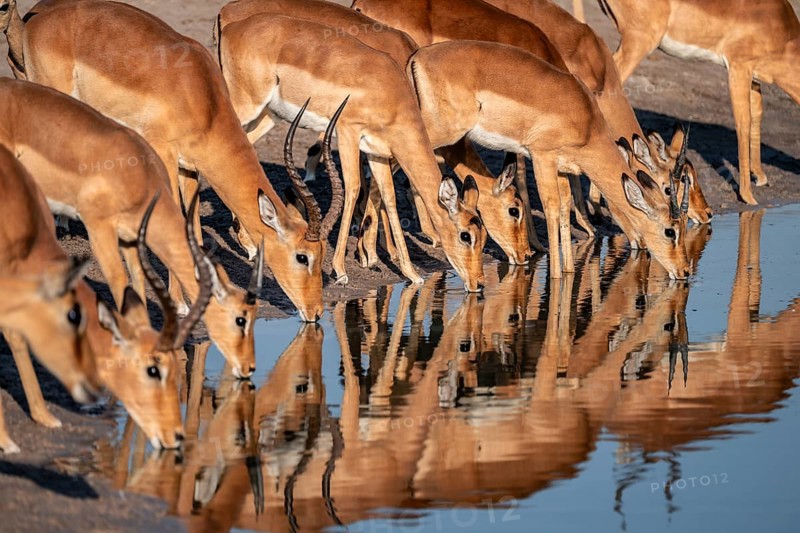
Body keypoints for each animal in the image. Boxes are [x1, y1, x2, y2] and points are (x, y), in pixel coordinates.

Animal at [0, 78, 261, 379]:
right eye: (240, 319)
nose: (249, 367)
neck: (139, 176)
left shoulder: (130, 239)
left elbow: (136, 283)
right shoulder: (99, 229)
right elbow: (118, 281)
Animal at [2, 0, 337, 322]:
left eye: (322, 254)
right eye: (303, 256)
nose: (316, 312)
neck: (200, 96)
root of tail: (38, 14)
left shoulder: (189, 167)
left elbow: (194, 225)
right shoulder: (162, 152)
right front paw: (180, 304)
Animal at [218, 14, 488, 291]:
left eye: (484, 235)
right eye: (465, 235)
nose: (478, 283)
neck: (388, 90)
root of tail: (232, 28)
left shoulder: (377, 151)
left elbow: (389, 196)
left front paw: (411, 273)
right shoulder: (348, 133)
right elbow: (354, 187)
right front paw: (340, 270)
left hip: (268, 115)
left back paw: (248, 244)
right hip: (246, 106)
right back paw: (248, 246)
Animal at [406, 40, 691, 279]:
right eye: (670, 230)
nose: (685, 271)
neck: (587, 120)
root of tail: (418, 56)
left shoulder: (564, 167)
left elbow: (565, 206)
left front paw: (568, 271)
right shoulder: (542, 156)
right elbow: (551, 207)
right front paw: (555, 276)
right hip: (437, 132)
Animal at [597, 0, 800, 205]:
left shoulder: (755, 79)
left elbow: (757, 114)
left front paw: (760, 176)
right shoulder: (738, 68)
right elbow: (743, 124)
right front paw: (748, 197)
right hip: (638, 44)